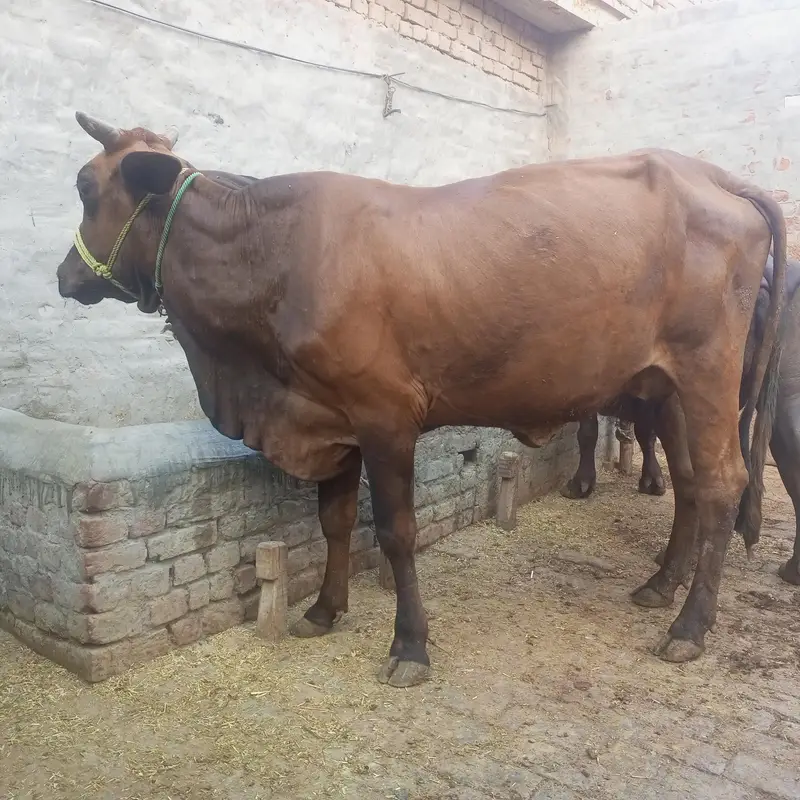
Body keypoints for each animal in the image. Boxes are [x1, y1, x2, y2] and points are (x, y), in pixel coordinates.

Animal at [55, 112, 785, 687]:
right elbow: (334, 522)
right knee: (689, 483)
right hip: (667, 391)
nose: (64, 276)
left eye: (86, 187)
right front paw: (323, 611)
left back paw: (689, 627)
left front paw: (409, 646)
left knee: (723, 484)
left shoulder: (385, 418)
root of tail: (716, 177)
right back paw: (660, 585)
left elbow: (395, 532)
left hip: (707, 375)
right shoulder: (332, 418)